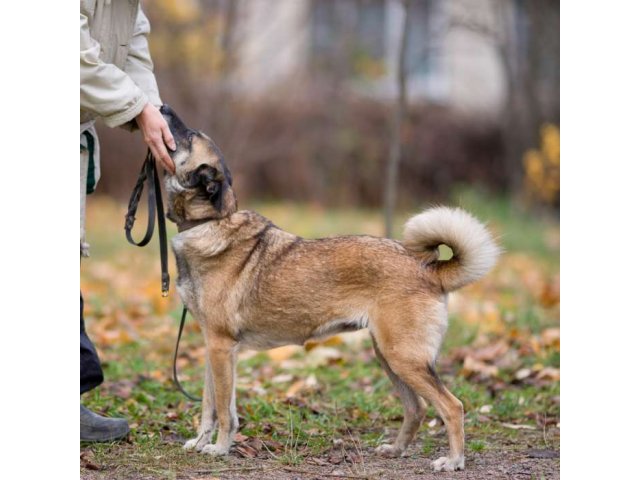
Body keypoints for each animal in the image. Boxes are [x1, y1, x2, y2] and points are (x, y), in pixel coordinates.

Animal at [160, 106, 500, 472]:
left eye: (190, 136)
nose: (162, 108)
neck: (209, 223)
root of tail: (428, 269)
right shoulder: (214, 348)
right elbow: (209, 405)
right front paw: (201, 442)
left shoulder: (222, 348)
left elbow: (224, 410)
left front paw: (221, 448)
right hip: (390, 357)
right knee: (417, 408)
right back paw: (396, 450)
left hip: (403, 358)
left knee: (452, 406)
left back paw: (453, 460)